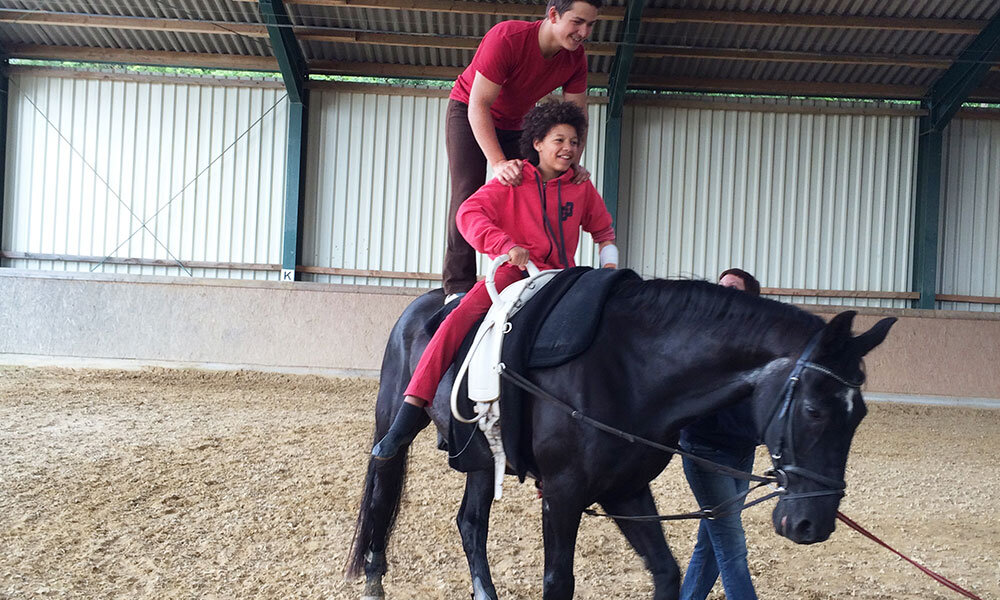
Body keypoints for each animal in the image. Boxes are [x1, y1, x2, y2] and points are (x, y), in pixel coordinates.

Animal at [345, 275, 896, 600]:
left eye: (860, 416)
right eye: (813, 410)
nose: (812, 525)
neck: (628, 367)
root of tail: (426, 305)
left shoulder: (626, 490)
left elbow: (667, 572)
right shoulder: (563, 494)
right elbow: (558, 582)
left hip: (482, 457)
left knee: (470, 524)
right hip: (395, 418)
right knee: (383, 485)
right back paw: (373, 575)